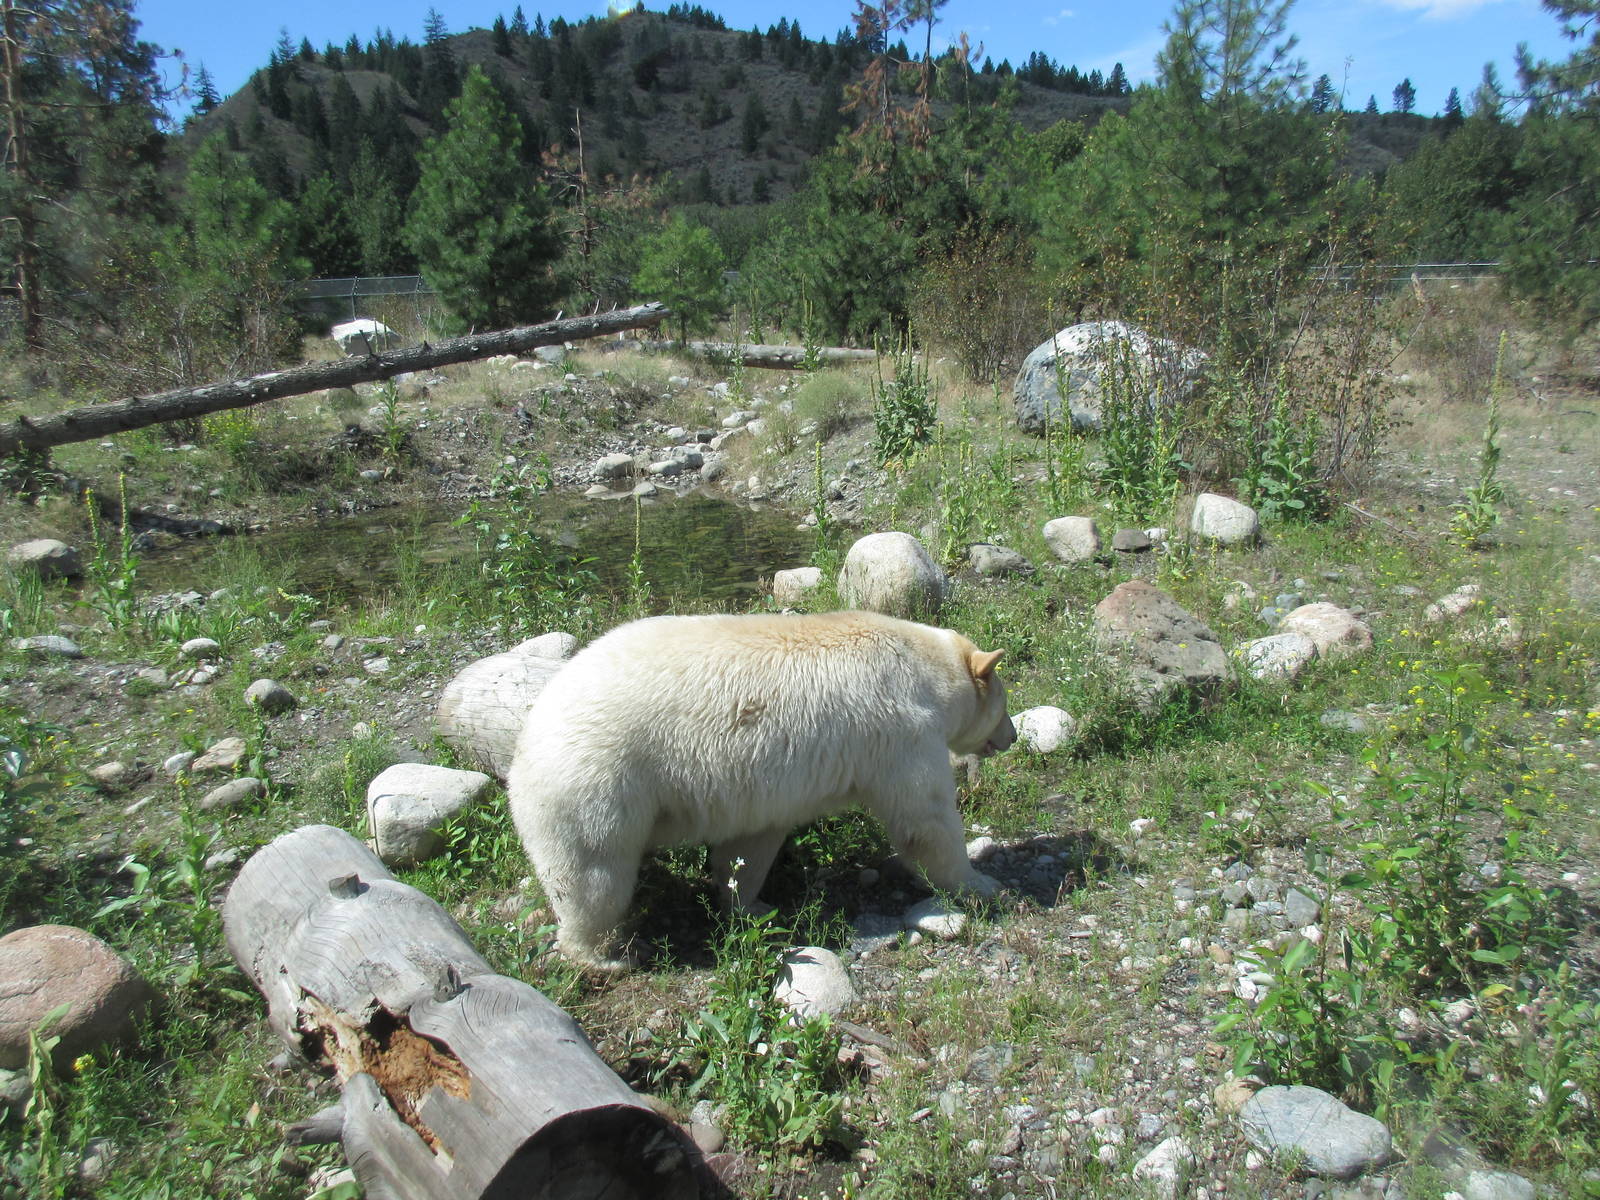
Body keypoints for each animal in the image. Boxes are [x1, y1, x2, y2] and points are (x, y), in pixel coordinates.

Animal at [505, 609, 1016, 970]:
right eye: (1005, 703)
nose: (1012, 736)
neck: (923, 666)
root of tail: (524, 740)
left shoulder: (766, 787)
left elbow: (750, 845)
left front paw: (754, 906)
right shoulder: (902, 731)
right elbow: (924, 821)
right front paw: (984, 885)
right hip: (595, 785)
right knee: (594, 875)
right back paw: (607, 955)